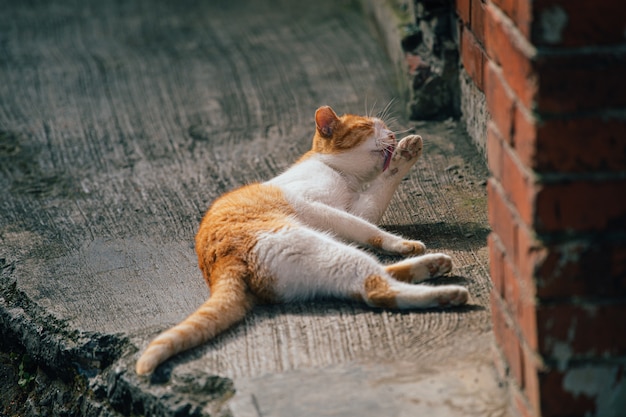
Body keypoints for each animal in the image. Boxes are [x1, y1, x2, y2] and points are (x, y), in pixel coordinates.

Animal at [136, 105, 468, 376]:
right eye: (367, 126)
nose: (391, 133)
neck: (340, 175)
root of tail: (219, 267)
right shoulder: (317, 205)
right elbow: (365, 228)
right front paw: (399, 242)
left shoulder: (359, 207)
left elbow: (378, 195)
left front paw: (406, 152)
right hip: (313, 244)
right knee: (376, 289)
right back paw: (448, 294)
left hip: (321, 260)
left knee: (371, 276)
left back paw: (434, 265)